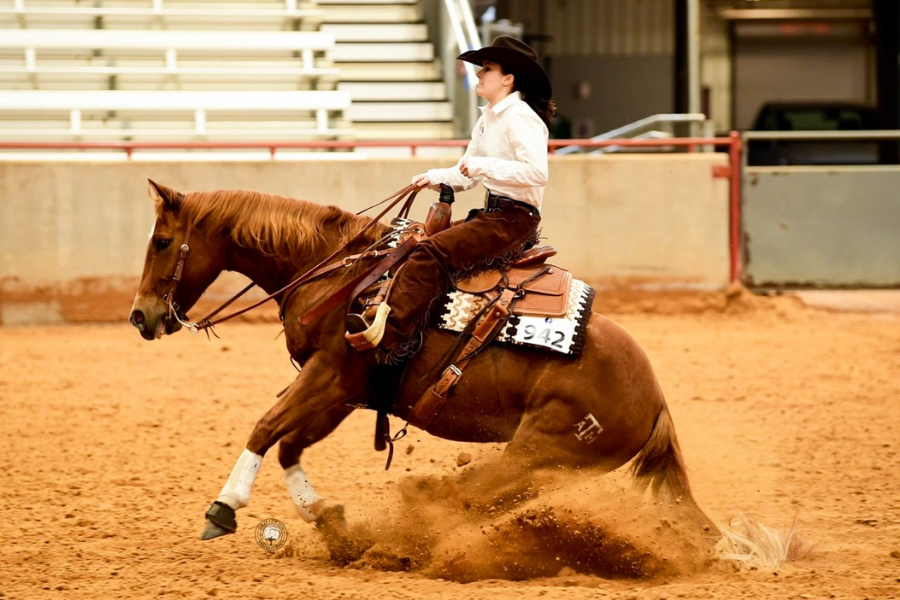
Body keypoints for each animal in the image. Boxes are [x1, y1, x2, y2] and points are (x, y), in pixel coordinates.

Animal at [130, 180, 712, 540]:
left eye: (163, 242)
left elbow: (265, 426)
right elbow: (289, 444)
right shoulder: (345, 391)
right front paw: (327, 517)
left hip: (540, 451)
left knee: (479, 493)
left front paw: (224, 506)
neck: (339, 274)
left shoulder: (329, 375)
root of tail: (656, 402)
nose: (140, 316)